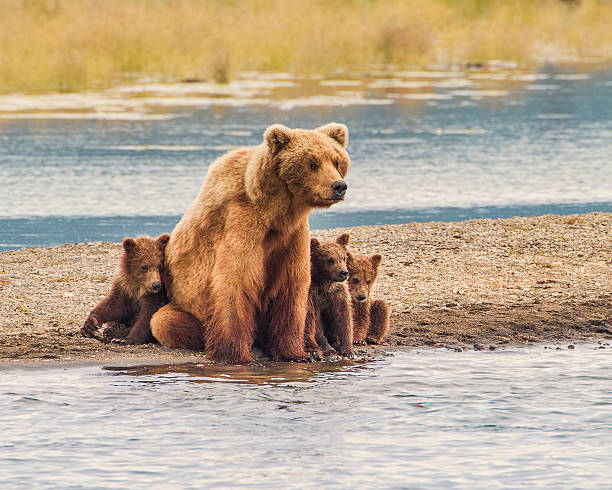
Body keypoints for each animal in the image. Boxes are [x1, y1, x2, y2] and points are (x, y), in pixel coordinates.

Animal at [151, 122, 352, 364]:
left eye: (336, 161)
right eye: (312, 163)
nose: (339, 186)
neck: (278, 210)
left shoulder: (292, 234)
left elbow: (293, 286)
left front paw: (295, 353)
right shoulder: (243, 220)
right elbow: (235, 281)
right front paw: (238, 356)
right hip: (184, 308)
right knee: (164, 321)